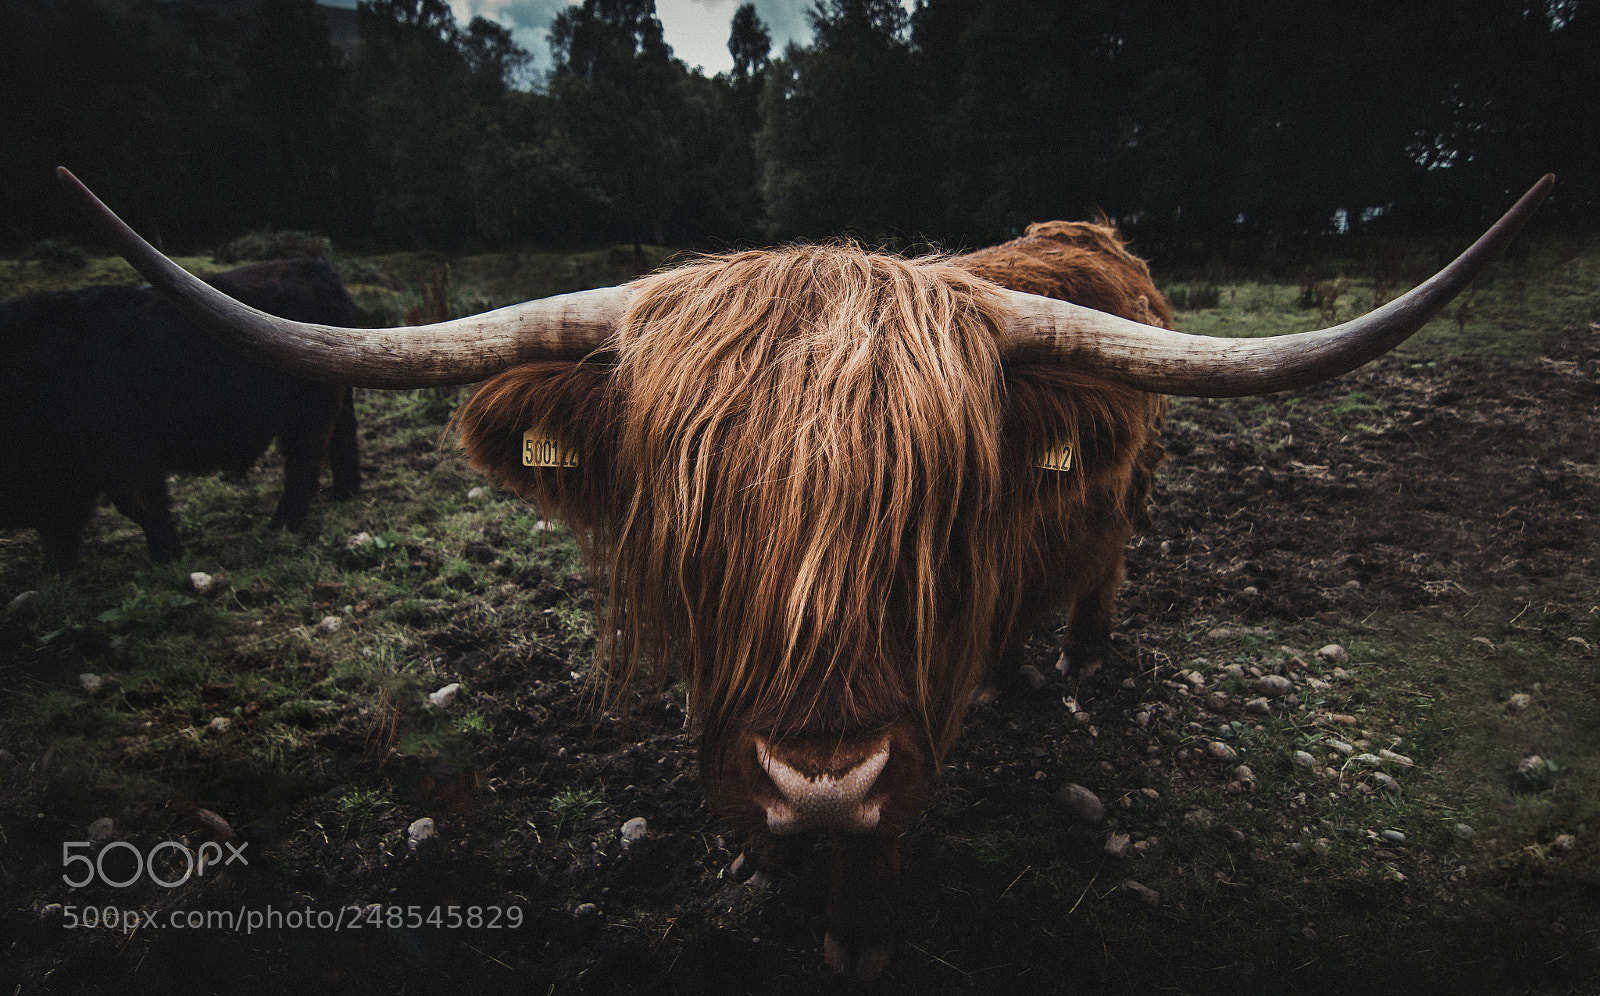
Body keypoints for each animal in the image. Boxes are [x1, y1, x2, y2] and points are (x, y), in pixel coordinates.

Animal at [0, 257, 361, 569]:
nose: (55, 567)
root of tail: (313, 266)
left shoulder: (129, 457)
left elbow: (139, 506)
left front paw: (166, 555)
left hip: (308, 409)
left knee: (304, 463)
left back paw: (283, 523)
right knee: (342, 440)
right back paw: (344, 493)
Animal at [56, 167, 1552, 979]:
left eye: (935, 514)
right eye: (695, 525)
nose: (819, 776)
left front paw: (855, 926)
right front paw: (776, 870)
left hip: (1130, 504)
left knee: (1103, 570)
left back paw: (1073, 667)